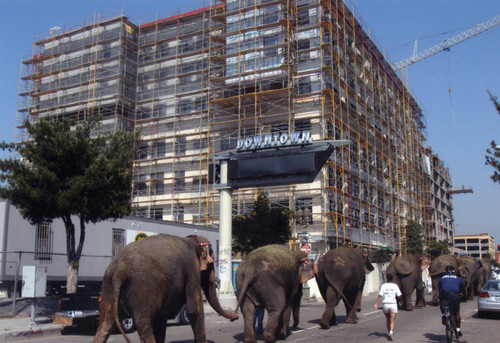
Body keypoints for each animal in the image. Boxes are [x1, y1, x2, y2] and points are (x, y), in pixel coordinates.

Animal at [93, 235, 238, 343]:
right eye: (212, 259)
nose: (235, 317)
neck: (191, 241)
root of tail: (120, 271)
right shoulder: (192, 273)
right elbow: (194, 310)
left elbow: (161, 320)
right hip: (143, 290)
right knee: (143, 325)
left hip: (108, 286)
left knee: (104, 326)